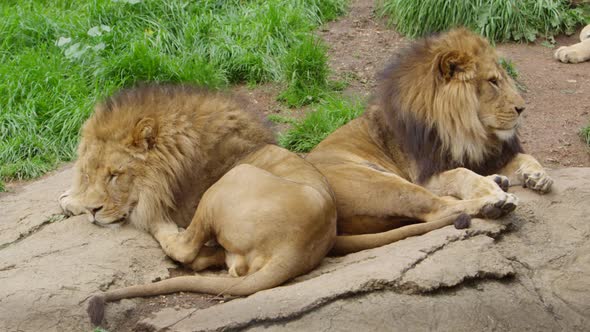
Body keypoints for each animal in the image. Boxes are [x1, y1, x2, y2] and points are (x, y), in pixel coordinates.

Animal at [60, 84, 340, 326]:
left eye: (115, 175)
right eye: (89, 175)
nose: (94, 212)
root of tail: (294, 250)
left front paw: (74, 201)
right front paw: (74, 198)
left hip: (230, 181)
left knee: (183, 249)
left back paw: (162, 226)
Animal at [308, 29, 552, 256]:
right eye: (493, 82)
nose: (522, 108)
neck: (464, 133)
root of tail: (334, 231)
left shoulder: (481, 156)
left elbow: (523, 157)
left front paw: (538, 175)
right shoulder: (424, 176)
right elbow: (460, 173)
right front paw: (490, 190)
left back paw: (498, 182)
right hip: (384, 183)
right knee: (438, 209)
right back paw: (494, 203)